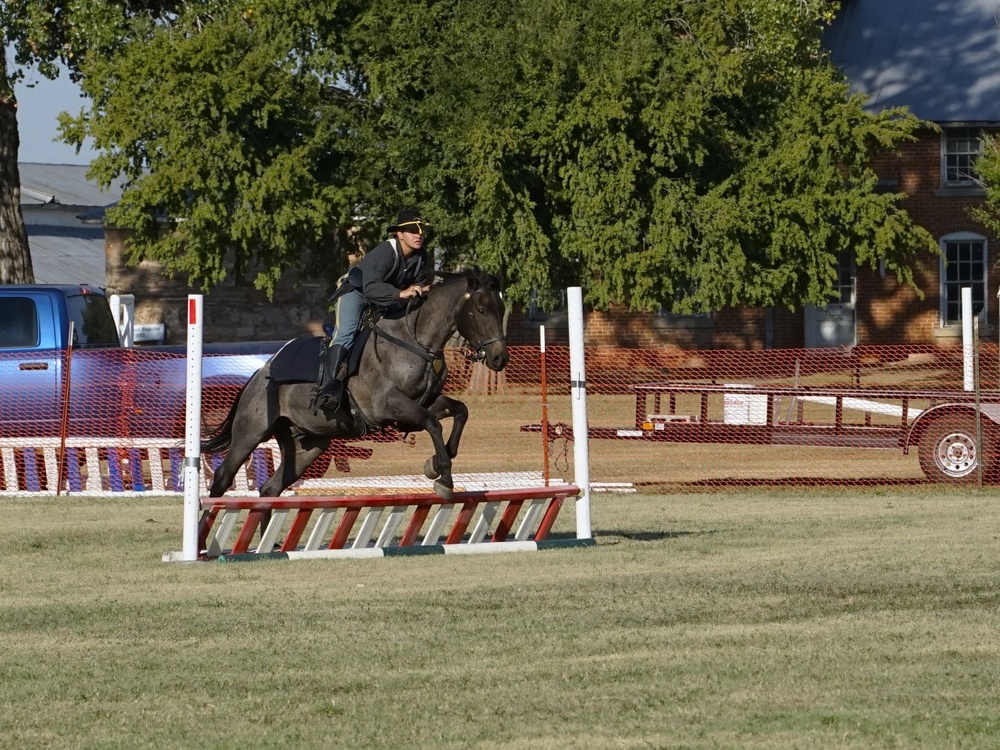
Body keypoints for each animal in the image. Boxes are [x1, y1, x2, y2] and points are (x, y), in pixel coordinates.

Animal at [199, 268, 508, 502]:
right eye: (481, 309)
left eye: (501, 309)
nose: (499, 358)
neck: (414, 340)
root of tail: (259, 372)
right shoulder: (389, 406)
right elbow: (434, 424)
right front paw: (442, 475)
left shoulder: (421, 404)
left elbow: (459, 411)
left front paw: (441, 461)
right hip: (252, 432)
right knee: (223, 477)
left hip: (309, 444)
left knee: (270, 488)